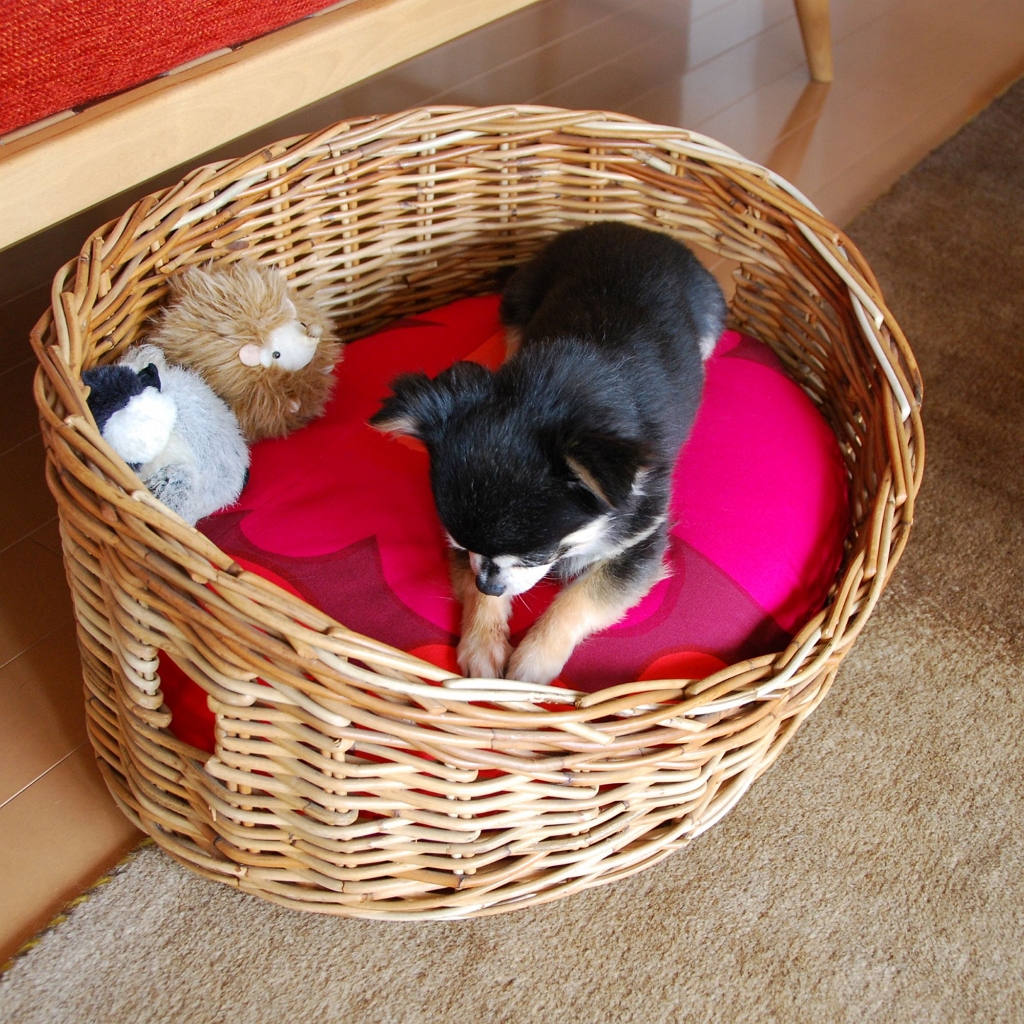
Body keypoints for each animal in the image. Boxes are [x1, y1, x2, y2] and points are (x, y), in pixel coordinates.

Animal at [371, 222, 727, 684]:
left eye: (535, 556)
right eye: (457, 542)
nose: (489, 585)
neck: (551, 392)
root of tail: (633, 228)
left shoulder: (641, 538)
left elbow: (583, 597)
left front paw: (532, 662)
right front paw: (482, 644)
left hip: (710, 317)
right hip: (518, 302)